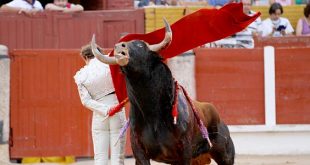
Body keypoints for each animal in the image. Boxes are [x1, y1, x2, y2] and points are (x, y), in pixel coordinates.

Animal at [91, 19, 234, 165]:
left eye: (141, 45)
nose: (119, 46)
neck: (152, 112)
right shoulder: (139, 151)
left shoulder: (185, 151)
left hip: (225, 155)